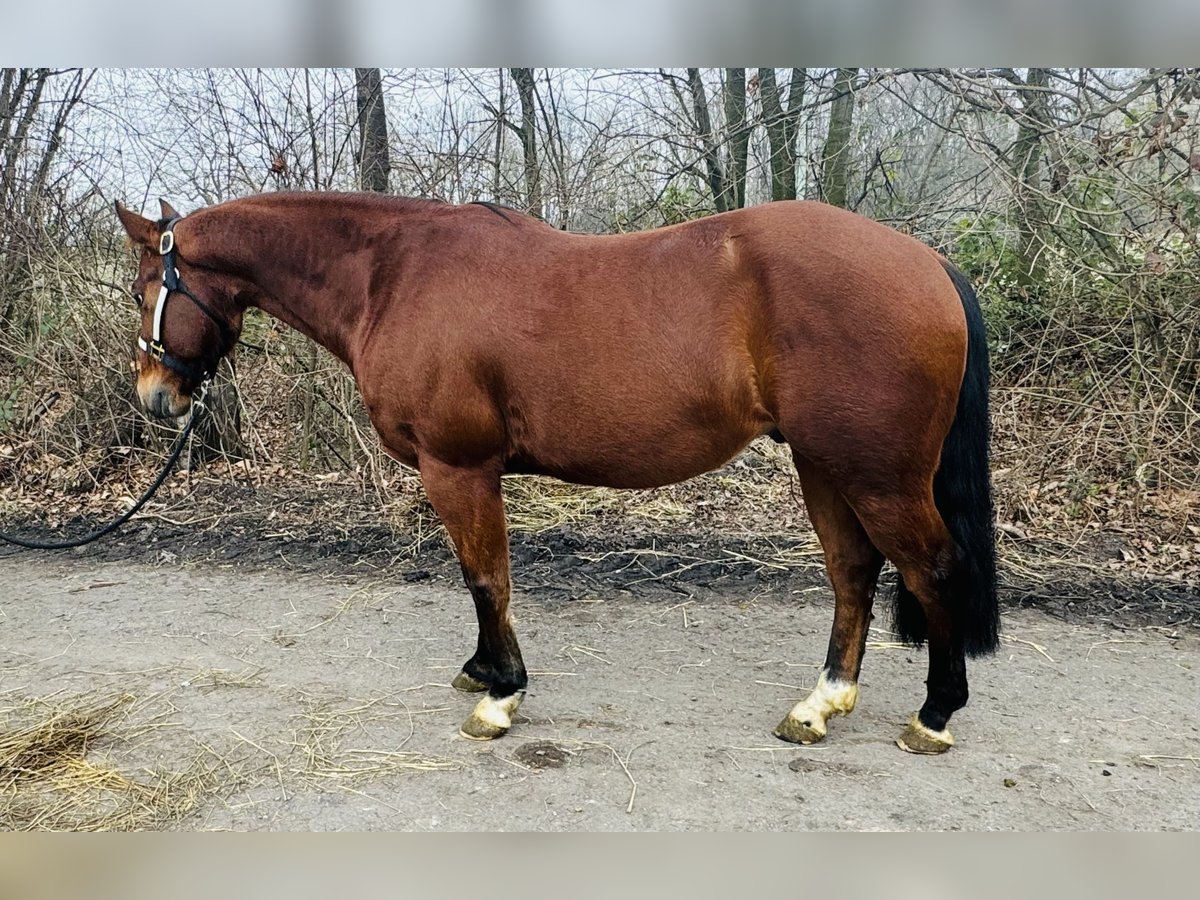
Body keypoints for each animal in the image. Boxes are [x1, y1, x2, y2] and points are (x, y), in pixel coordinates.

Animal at [117, 195, 998, 753]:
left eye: (141, 289)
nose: (156, 398)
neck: (394, 274)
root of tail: (929, 264)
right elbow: (479, 579)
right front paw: (482, 670)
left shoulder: (458, 468)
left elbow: (487, 577)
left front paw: (501, 693)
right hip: (825, 464)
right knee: (853, 572)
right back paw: (821, 703)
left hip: (878, 476)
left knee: (932, 568)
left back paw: (934, 714)